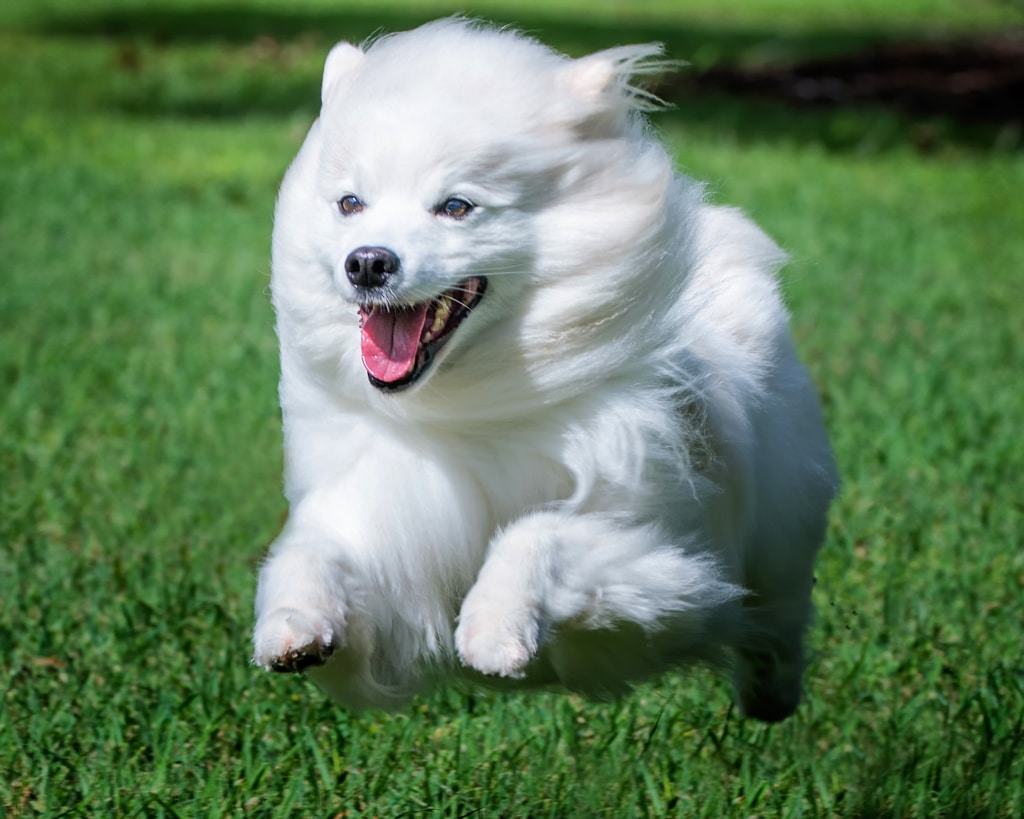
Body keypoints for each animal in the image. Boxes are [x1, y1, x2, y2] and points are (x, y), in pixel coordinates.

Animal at [251, 19, 835, 720]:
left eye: (456, 206)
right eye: (349, 204)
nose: (366, 262)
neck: (471, 404)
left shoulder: (666, 561)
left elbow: (538, 534)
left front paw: (494, 628)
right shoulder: (385, 526)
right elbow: (314, 553)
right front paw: (291, 624)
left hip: (778, 525)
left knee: (779, 614)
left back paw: (772, 693)